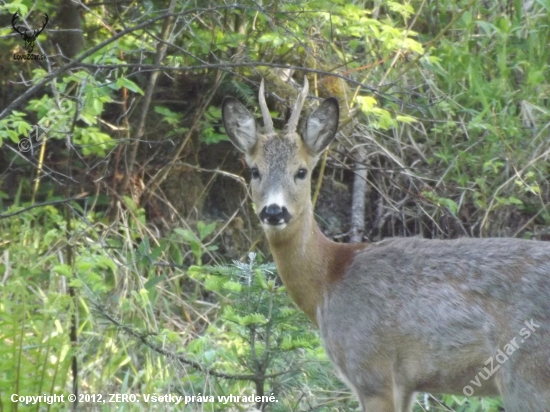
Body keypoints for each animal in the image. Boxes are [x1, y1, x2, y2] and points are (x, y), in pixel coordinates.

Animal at [223, 78, 550, 412]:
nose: (274, 211)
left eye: (301, 171)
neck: (329, 280)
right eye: (254, 171)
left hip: (526, 375)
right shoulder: (405, 386)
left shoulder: (371, 370)